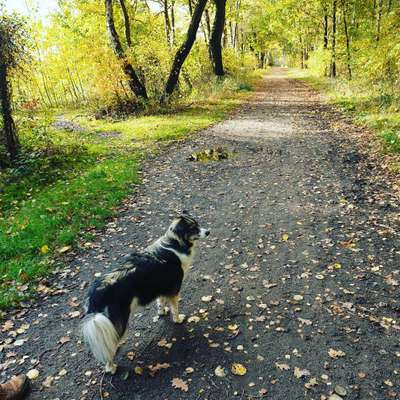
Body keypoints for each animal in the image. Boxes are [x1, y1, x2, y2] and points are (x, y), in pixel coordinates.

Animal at [83, 214, 211, 374]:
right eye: (193, 228)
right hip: (116, 323)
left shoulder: (162, 286)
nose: (208, 232)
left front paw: (162, 312)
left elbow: (161, 302)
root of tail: (97, 291)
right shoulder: (174, 289)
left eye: (198, 224)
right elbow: (175, 309)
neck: (175, 244)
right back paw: (110, 368)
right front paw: (178, 319)